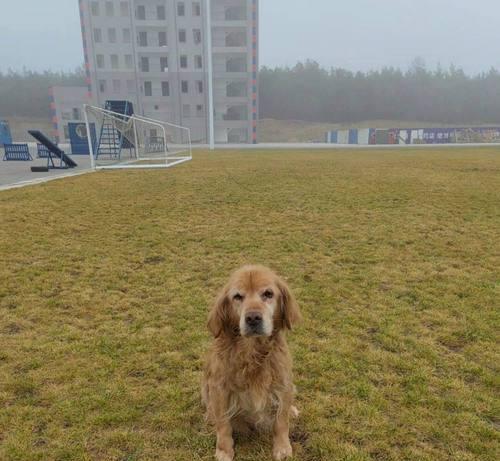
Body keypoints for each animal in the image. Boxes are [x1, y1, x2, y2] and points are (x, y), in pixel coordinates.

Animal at [202, 264, 300, 458]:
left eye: (268, 294)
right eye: (238, 296)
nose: (253, 318)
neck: (253, 351)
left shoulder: (283, 382)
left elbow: (281, 421)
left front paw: (282, 448)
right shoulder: (219, 388)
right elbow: (223, 425)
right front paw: (224, 451)